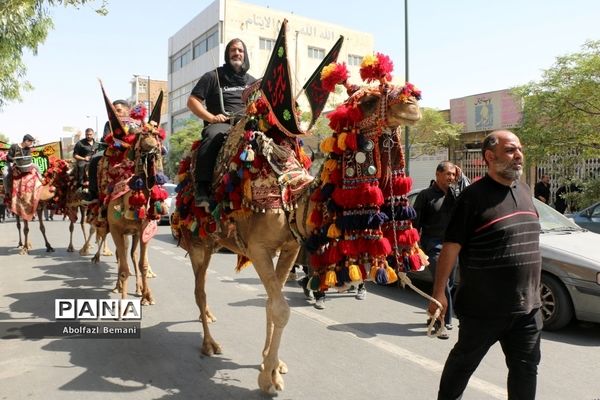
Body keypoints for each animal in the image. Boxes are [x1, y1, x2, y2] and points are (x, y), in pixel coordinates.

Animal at [171, 21, 424, 394]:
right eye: (368, 99)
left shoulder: (290, 247)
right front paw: (268, 380)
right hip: (199, 242)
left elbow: (271, 304)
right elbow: (281, 309)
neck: (291, 195)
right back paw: (209, 343)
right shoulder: (259, 247)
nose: (412, 102)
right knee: (199, 290)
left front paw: (273, 365)